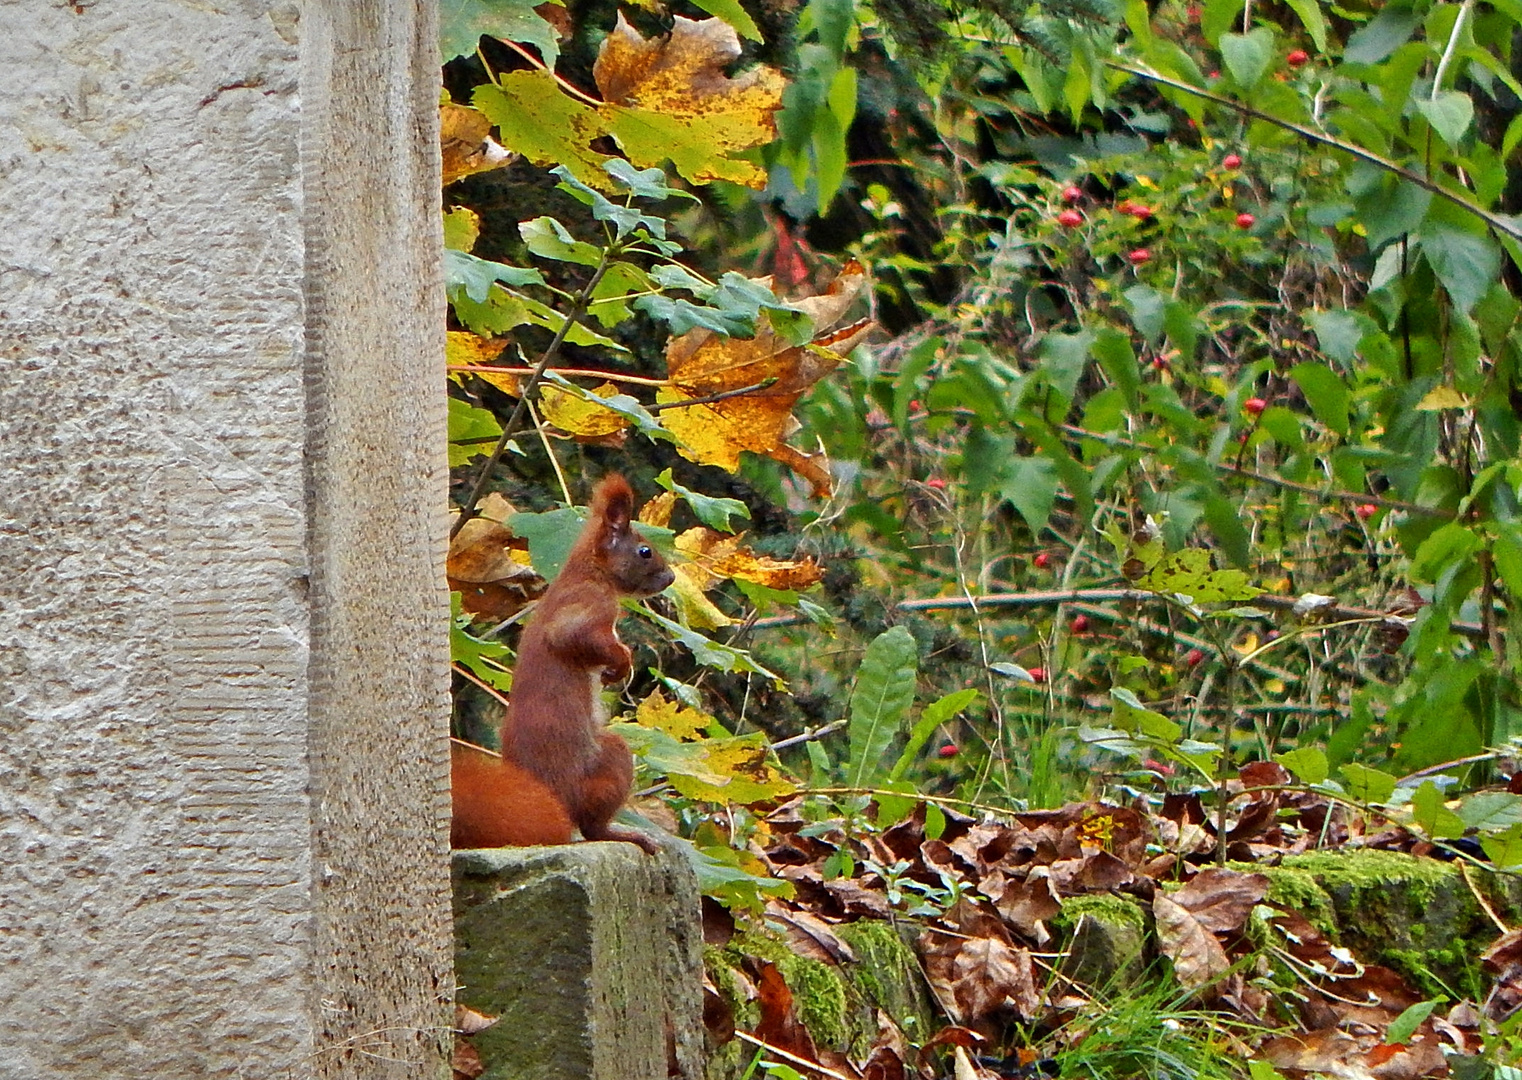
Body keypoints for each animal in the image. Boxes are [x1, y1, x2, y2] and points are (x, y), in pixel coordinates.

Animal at [444, 477, 672, 857]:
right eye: (645, 551)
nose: (669, 579)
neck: (589, 571)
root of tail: (553, 804)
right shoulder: (587, 606)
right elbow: (573, 637)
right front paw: (621, 662)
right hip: (605, 766)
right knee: (592, 827)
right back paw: (624, 835)